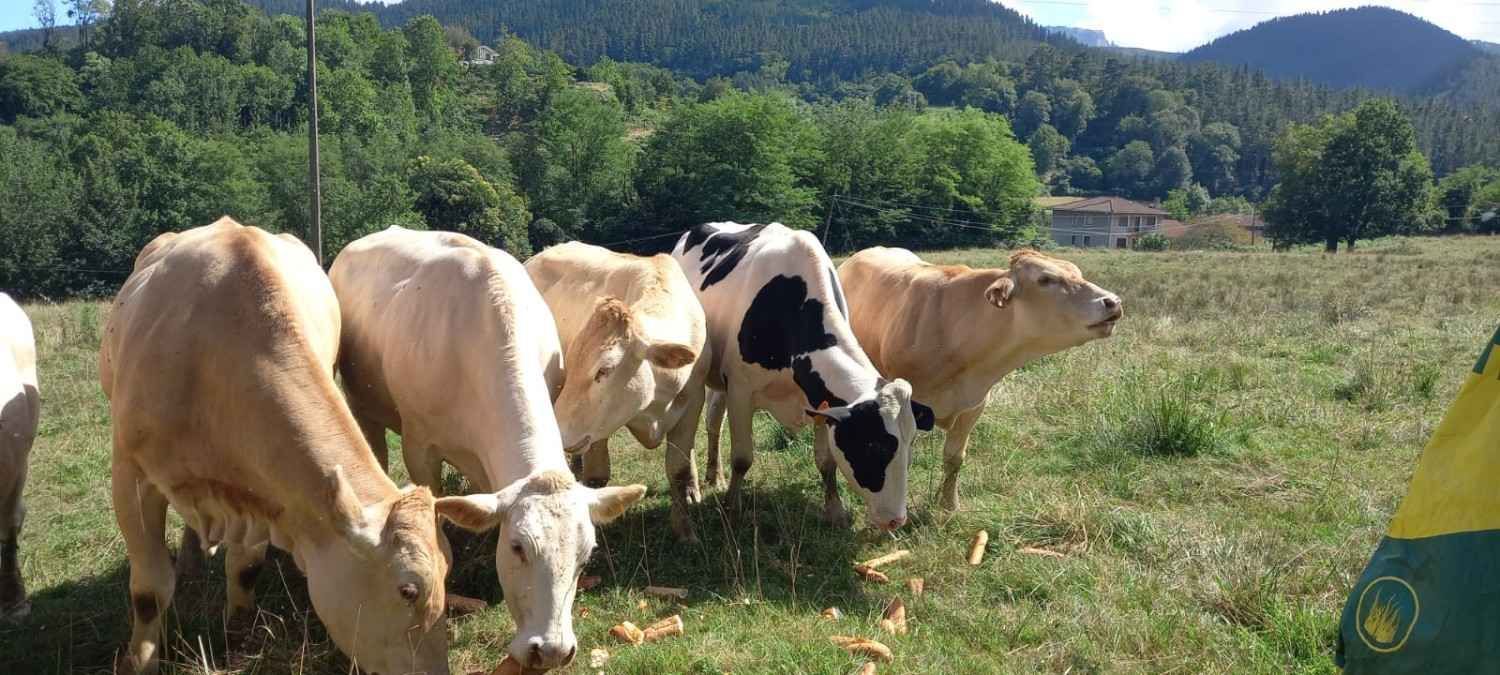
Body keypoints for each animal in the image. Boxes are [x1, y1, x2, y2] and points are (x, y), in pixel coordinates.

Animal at [99, 218, 451, 675]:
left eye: (447, 574)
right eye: (408, 590)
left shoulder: (262, 489)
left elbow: (245, 567)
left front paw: (238, 638)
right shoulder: (129, 473)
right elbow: (149, 589)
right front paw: (140, 660)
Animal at [525, 242, 709, 541]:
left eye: (605, 370)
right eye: (570, 364)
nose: (560, 431)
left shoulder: (693, 403)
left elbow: (678, 469)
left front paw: (685, 531)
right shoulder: (597, 427)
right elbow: (597, 477)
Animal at [672, 222, 934, 532]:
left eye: (911, 441)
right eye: (872, 445)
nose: (896, 520)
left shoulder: (821, 402)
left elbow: (826, 462)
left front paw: (835, 510)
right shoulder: (740, 390)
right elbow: (742, 458)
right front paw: (733, 509)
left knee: (714, 422)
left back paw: (715, 476)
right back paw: (694, 487)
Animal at [838, 248, 1122, 511]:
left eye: (1078, 272)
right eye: (1045, 279)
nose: (1114, 301)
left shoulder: (974, 405)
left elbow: (954, 458)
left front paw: (949, 505)